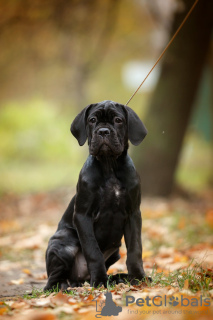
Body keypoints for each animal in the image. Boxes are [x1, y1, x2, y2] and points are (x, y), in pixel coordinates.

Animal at [44, 100, 148, 290]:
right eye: (92, 120)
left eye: (118, 120)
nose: (103, 131)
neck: (109, 166)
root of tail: (79, 278)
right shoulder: (82, 215)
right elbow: (93, 251)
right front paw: (99, 280)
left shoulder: (133, 214)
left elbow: (135, 249)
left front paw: (138, 277)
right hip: (63, 243)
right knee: (51, 280)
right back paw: (61, 286)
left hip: (115, 252)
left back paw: (118, 278)